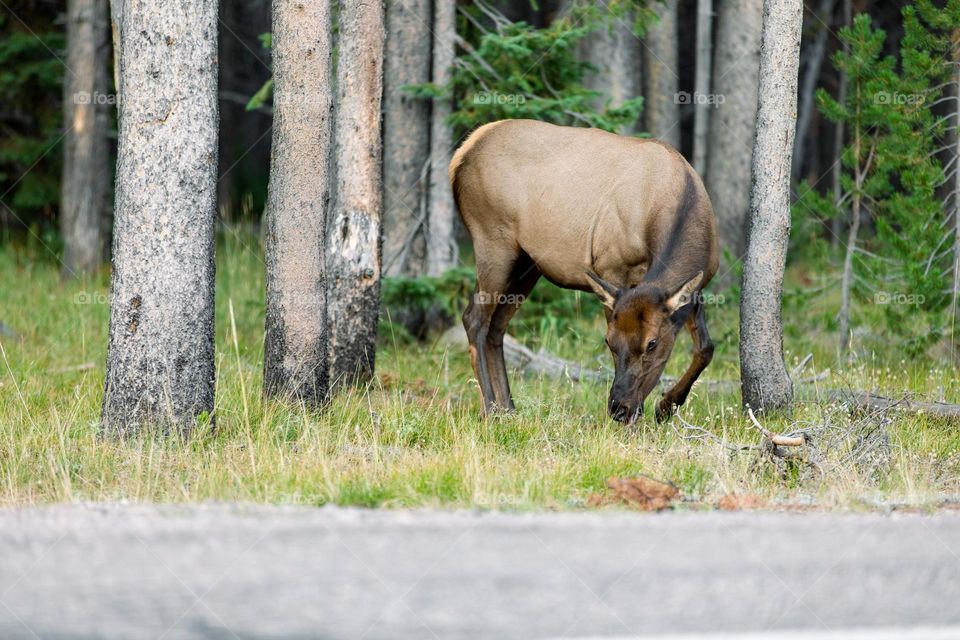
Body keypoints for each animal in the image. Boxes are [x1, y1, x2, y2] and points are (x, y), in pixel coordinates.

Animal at [449, 119, 719, 424]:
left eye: (652, 343)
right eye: (609, 341)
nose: (619, 409)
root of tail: (463, 152)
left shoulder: (699, 284)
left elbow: (706, 348)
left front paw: (666, 406)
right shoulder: (612, 267)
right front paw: (639, 419)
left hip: (527, 263)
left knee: (496, 326)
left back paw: (507, 409)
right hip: (493, 240)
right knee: (474, 318)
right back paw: (490, 408)